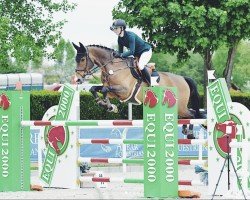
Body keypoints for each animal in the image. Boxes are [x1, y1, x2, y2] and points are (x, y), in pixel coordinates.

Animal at [72, 42, 203, 138]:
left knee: (192, 114)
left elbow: (104, 89)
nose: (77, 79)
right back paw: (185, 129)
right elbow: (95, 89)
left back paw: (190, 133)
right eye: (76, 59)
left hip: (180, 107)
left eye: (82, 59)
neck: (113, 67)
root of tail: (183, 78)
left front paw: (110, 107)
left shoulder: (124, 91)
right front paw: (105, 104)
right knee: (188, 115)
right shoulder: (113, 93)